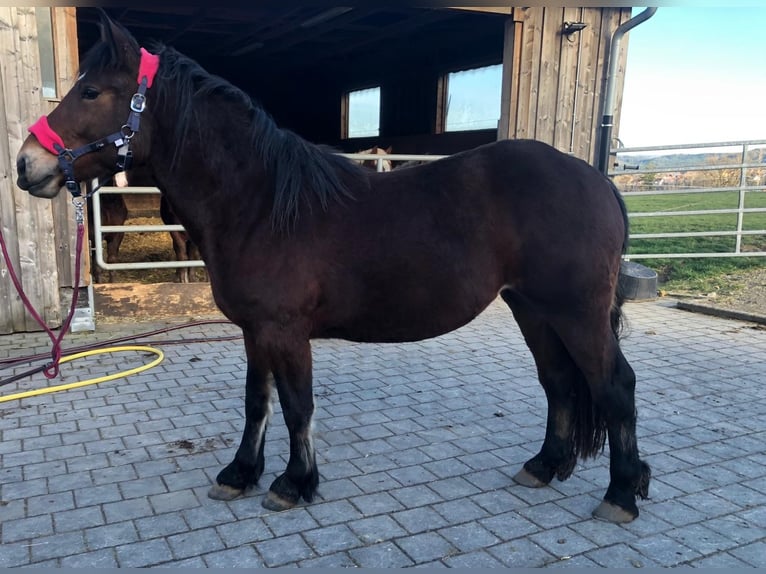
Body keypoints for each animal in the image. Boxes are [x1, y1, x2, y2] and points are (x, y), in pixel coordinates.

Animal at [13, 14, 648, 528]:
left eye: (92, 90)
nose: (26, 165)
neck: (261, 203)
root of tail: (596, 179)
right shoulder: (255, 331)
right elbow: (257, 401)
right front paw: (239, 474)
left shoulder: (287, 331)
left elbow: (298, 406)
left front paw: (294, 484)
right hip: (533, 309)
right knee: (559, 383)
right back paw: (543, 466)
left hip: (576, 313)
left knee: (614, 385)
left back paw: (620, 494)